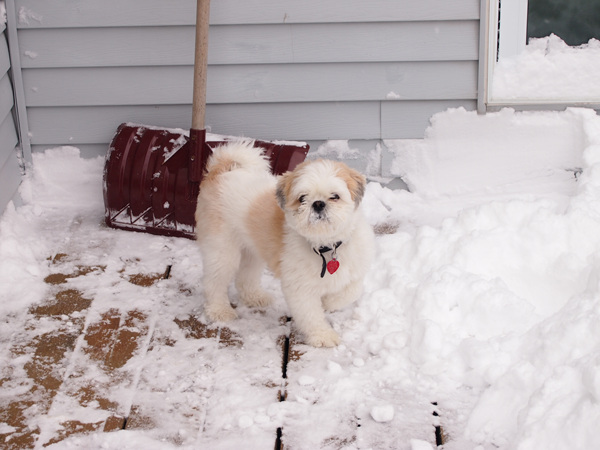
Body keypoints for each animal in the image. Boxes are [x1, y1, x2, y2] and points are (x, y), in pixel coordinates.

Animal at [197, 142, 372, 346]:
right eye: (302, 198)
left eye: (335, 196)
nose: (318, 203)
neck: (326, 246)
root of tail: (221, 171)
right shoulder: (300, 288)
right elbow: (311, 315)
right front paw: (323, 335)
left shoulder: (355, 271)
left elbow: (351, 291)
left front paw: (329, 302)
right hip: (222, 250)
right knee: (214, 281)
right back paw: (219, 310)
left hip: (252, 250)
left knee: (245, 277)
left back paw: (255, 297)